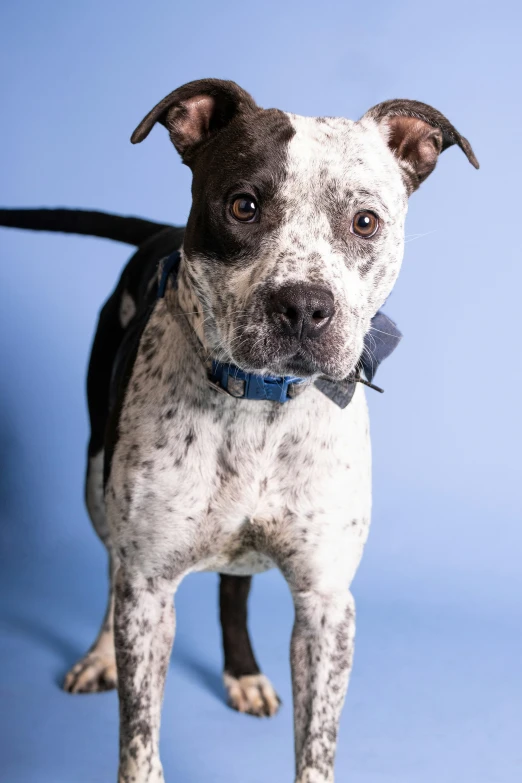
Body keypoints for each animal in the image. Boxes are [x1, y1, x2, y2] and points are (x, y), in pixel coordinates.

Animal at [0, 79, 478, 783]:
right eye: (243, 206)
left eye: (365, 221)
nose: (304, 306)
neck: (260, 406)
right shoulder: (148, 589)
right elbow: (139, 739)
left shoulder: (326, 605)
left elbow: (316, 743)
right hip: (95, 484)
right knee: (110, 567)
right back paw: (100, 656)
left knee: (233, 585)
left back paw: (243, 673)